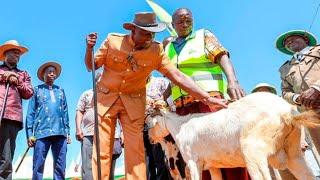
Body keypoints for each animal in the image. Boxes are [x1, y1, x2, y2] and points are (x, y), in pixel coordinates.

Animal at [146, 93, 320, 180]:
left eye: (148, 122)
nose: (149, 139)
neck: (180, 126)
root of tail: (287, 113)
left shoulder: (192, 162)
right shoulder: (213, 166)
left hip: (253, 153)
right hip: (294, 154)